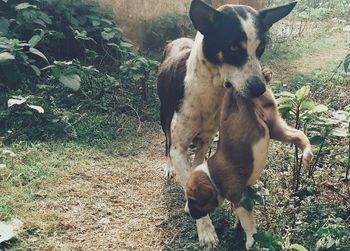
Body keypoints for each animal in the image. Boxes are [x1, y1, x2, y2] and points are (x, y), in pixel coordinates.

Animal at [157, 0, 296, 247]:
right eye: (233, 48)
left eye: (260, 48)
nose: (259, 88)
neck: (209, 88)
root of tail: (177, 40)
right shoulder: (179, 147)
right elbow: (182, 165)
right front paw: (206, 230)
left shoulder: (207, 138)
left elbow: (196, 168)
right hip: (164, 114)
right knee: (165, 141)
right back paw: (168, 167)